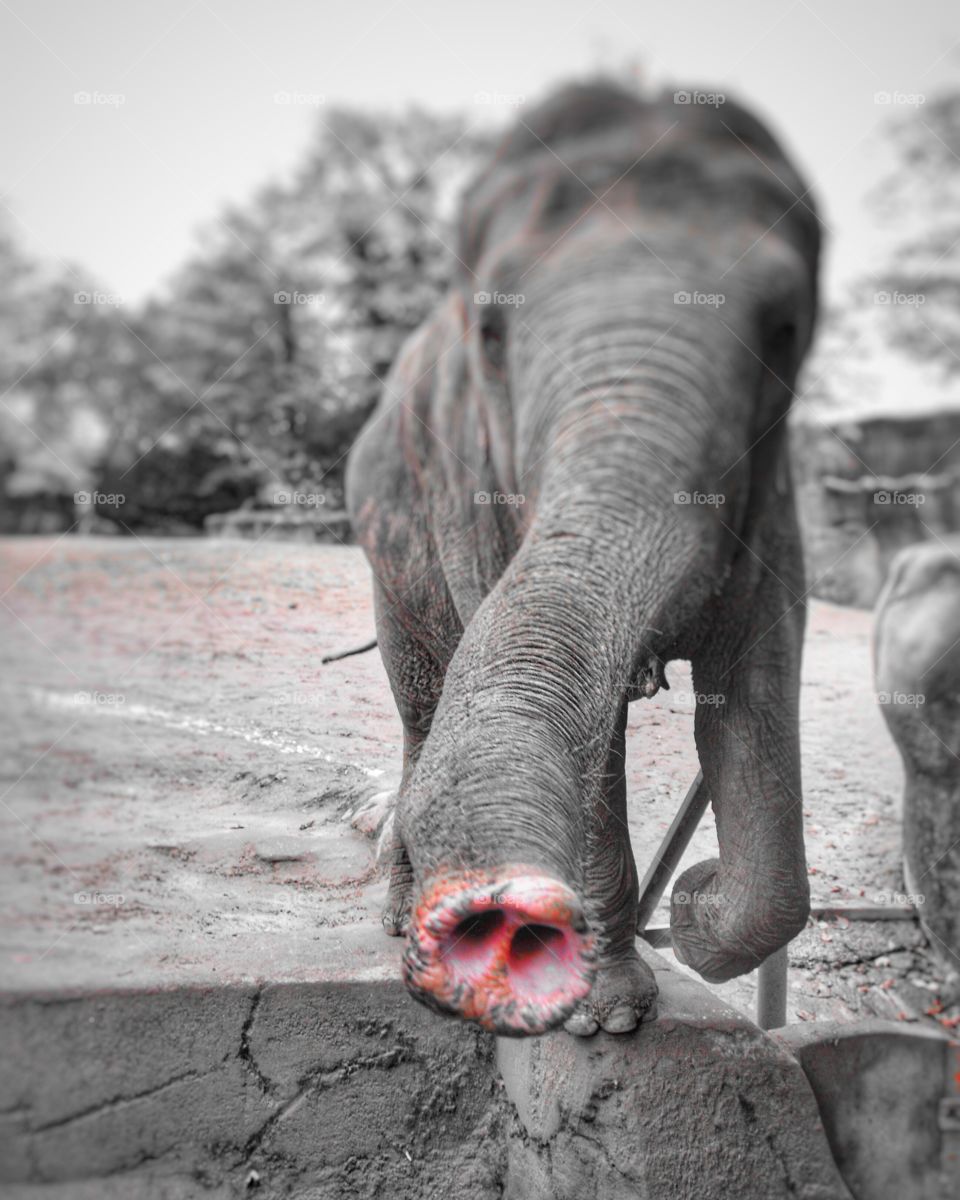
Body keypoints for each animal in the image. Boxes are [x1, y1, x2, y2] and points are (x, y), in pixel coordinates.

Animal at [346, 81, 821, 1037]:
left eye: (785, 331)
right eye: (491, 333)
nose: (493, 910)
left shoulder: (774, 500)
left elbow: (753, 693)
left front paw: (693, 912)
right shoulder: (468, 485)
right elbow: (597, 738)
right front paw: (605, 1015)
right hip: (391, 561)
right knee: (419, 702)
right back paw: (397, 914)